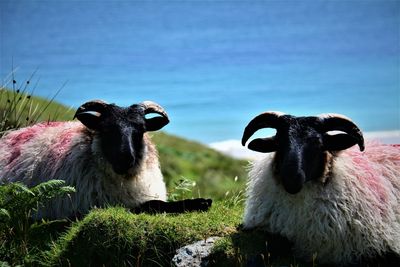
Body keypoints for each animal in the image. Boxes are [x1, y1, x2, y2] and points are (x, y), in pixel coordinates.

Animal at [0, 100, 211, 220]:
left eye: (141, 130)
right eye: (106, 129)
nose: (126, 159)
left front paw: (202, 202)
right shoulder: (103, 206)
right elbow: (153, 205)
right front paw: (199, 203)